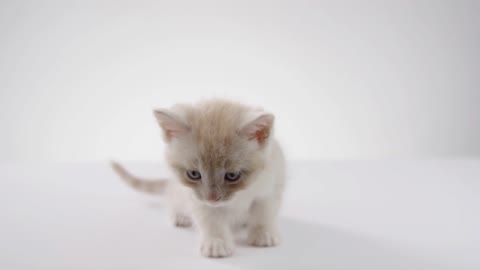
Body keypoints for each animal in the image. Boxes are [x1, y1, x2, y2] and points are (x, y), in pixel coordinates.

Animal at [111, 99, 284, 258]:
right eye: (194, 174)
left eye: (232, 175)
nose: (212, 198)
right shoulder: (197, 198)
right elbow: (210, 219)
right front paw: (216, 243)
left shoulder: (271, 186)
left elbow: (263, 212)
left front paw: (263, 234)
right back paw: (180, 216)